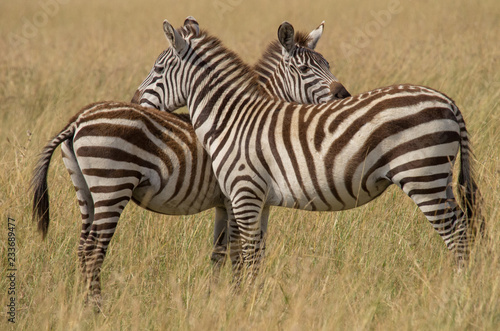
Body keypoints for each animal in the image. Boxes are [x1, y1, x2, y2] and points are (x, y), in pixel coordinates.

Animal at [30, 20, 348, 306]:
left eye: (328, 64)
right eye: (305, 70)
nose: (343, 94)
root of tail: (77, 120)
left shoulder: (231, 202)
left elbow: (224, 252)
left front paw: (216, 298)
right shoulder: (236, 196)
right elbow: (238, 251)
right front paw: (236, 298)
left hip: (86, 191)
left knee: (83, 246)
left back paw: (81, 303)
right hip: (112, 186)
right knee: (95, 248)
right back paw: (96, 307)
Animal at [134, 18, 484, 282]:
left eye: (158, 69)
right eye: (306, 69)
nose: (135, 100)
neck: (232, 118)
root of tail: (447, 100)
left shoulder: (242, 193)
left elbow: (243, 254)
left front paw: (242, 302)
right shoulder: (253, 200)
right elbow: (248, 254)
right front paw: (244, 298)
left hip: (422, 176)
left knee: (456, 234)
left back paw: (458, 291)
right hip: (439, 177)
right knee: (464, 229)